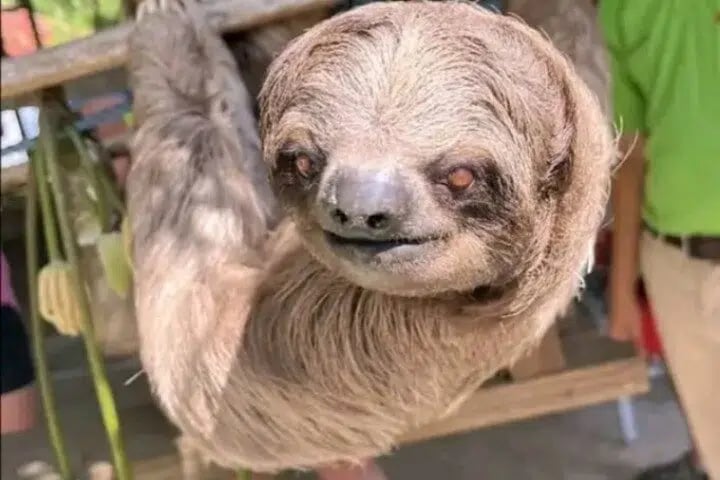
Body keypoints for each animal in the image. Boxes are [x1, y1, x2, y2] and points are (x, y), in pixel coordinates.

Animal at [126, 0, 615, 474]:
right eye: (304, 162)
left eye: (460, 176)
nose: (360, 209)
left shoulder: (309, 330)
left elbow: (185, 333)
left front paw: (166, 28)